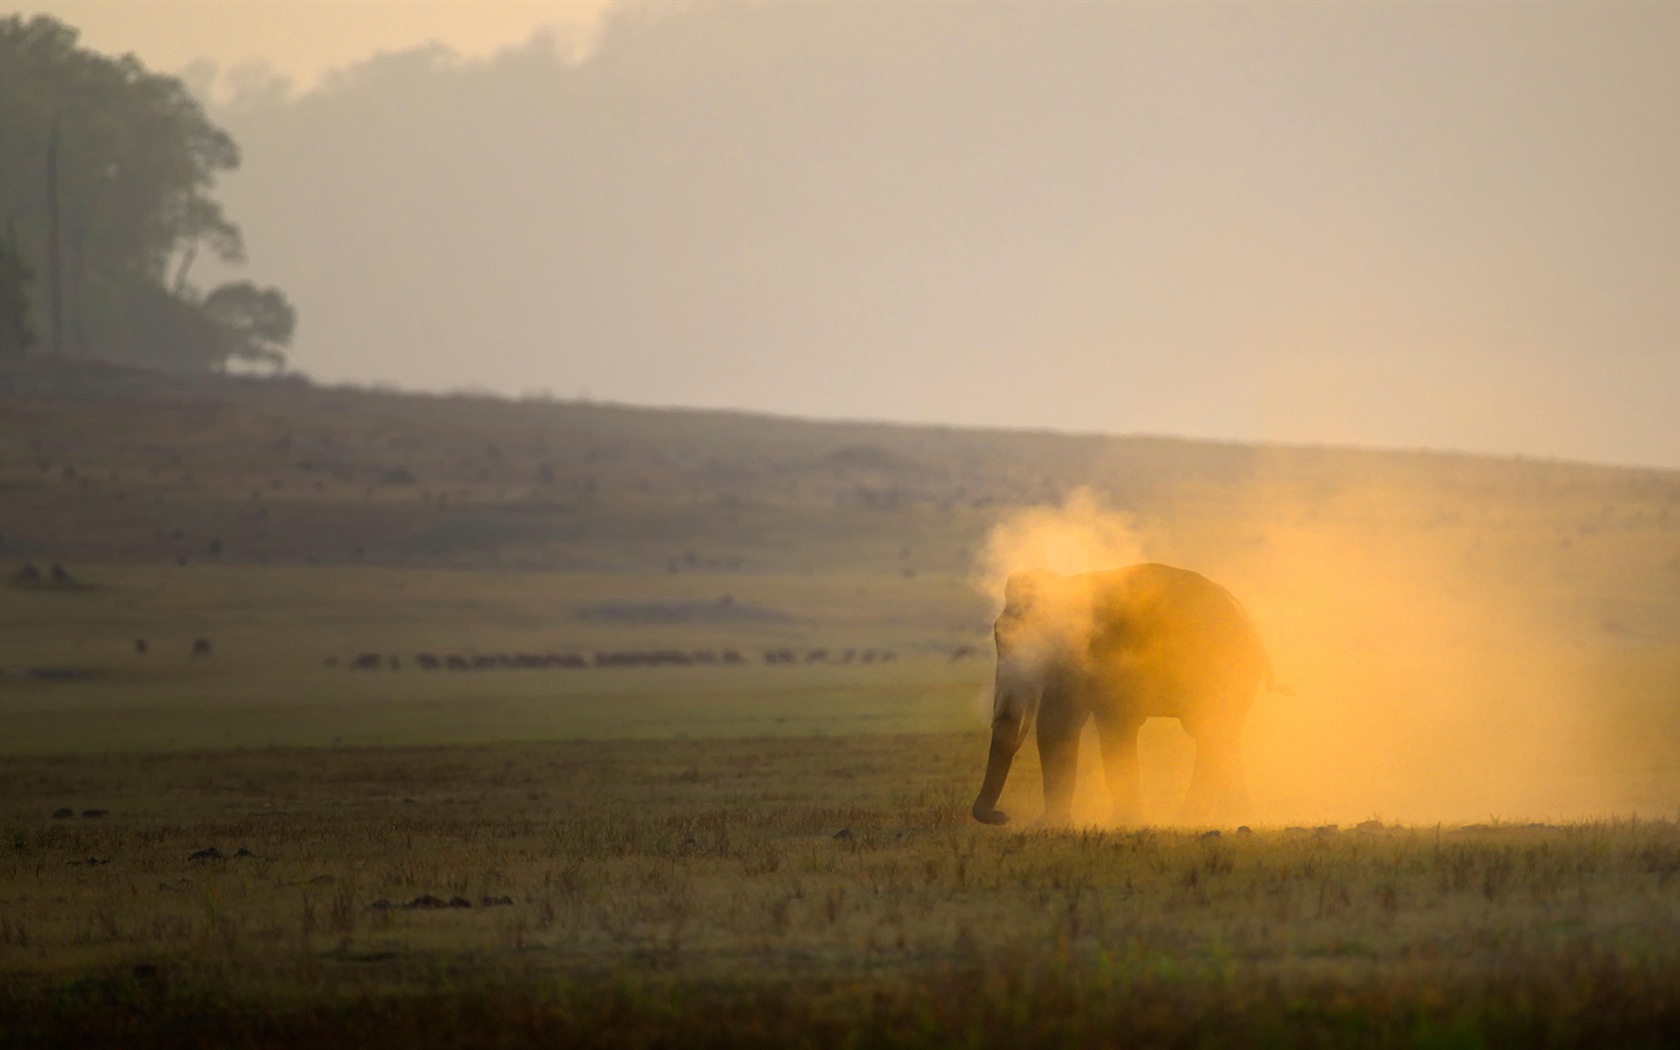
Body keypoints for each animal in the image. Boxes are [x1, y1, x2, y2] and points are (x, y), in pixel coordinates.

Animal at [974, 564, 1270, 826]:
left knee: (1209, 730)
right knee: (1221, 733)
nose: (1002, 816)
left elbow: (1062, 724)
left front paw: (1051, 825)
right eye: (997, 636)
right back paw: (1236, 818)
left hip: (1219, 668)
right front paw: (1118, 822)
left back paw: (1192, 820)